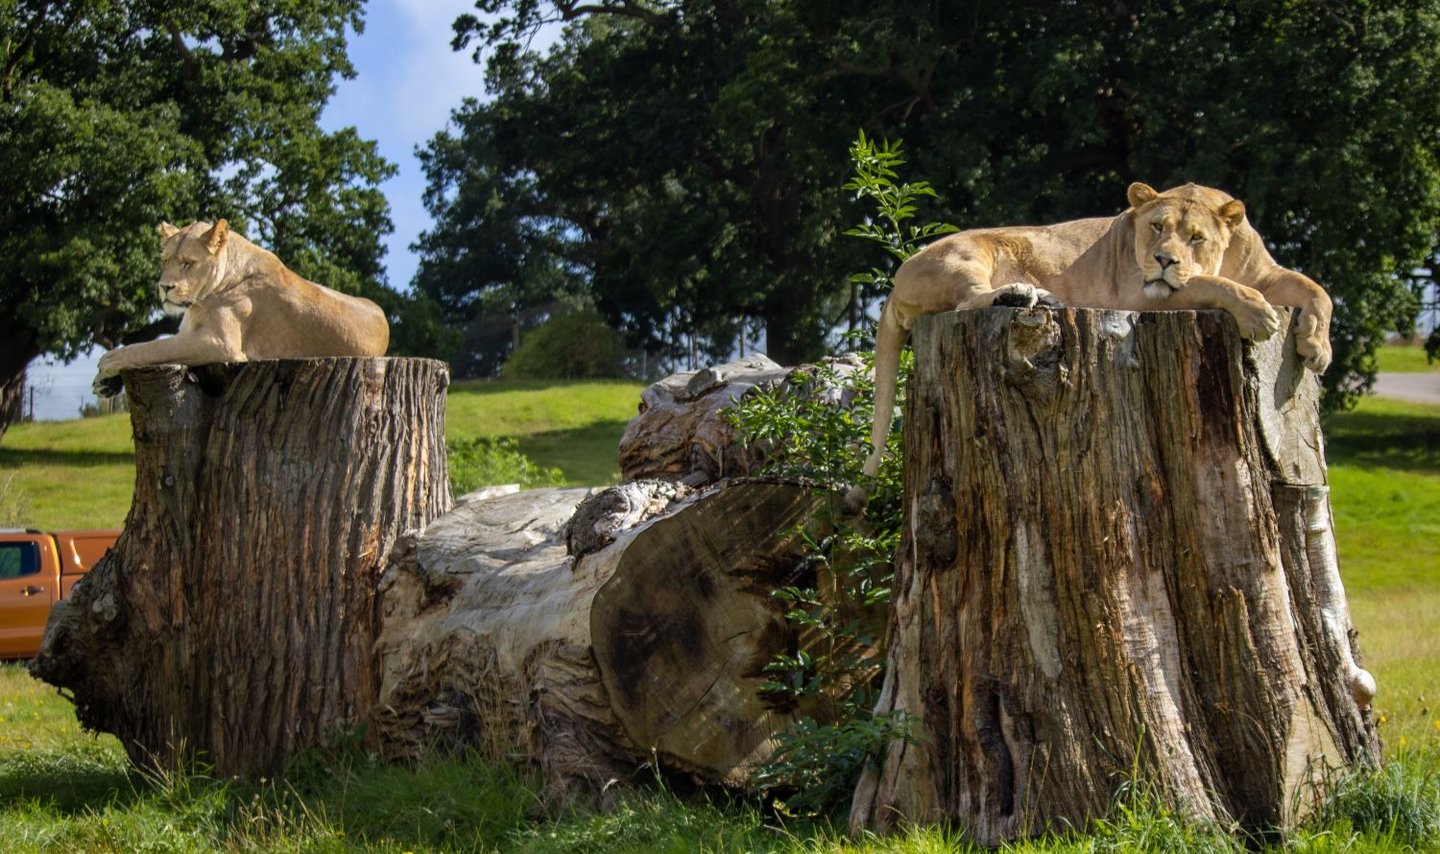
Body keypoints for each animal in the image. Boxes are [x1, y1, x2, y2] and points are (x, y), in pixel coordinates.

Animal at [93, 220, 390, 396]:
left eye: (188, 263)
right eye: (165, 260)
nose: (165, 287)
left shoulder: (220, 344)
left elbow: (154, 348)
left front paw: (109, 362)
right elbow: (159, 347)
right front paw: (105, 382)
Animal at [859, 181, 1334, 481]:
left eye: (1196, 237)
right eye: (1156, 227)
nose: (1164, 259)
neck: (1225, 257)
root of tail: (897, 281)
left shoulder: (1266, 274)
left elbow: (1316, 289)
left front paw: (1316, 347)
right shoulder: (1141, 293)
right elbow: (1206, 284)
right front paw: (1258, 315)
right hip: (966, 255)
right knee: (967, 300)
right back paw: (1022, 294)